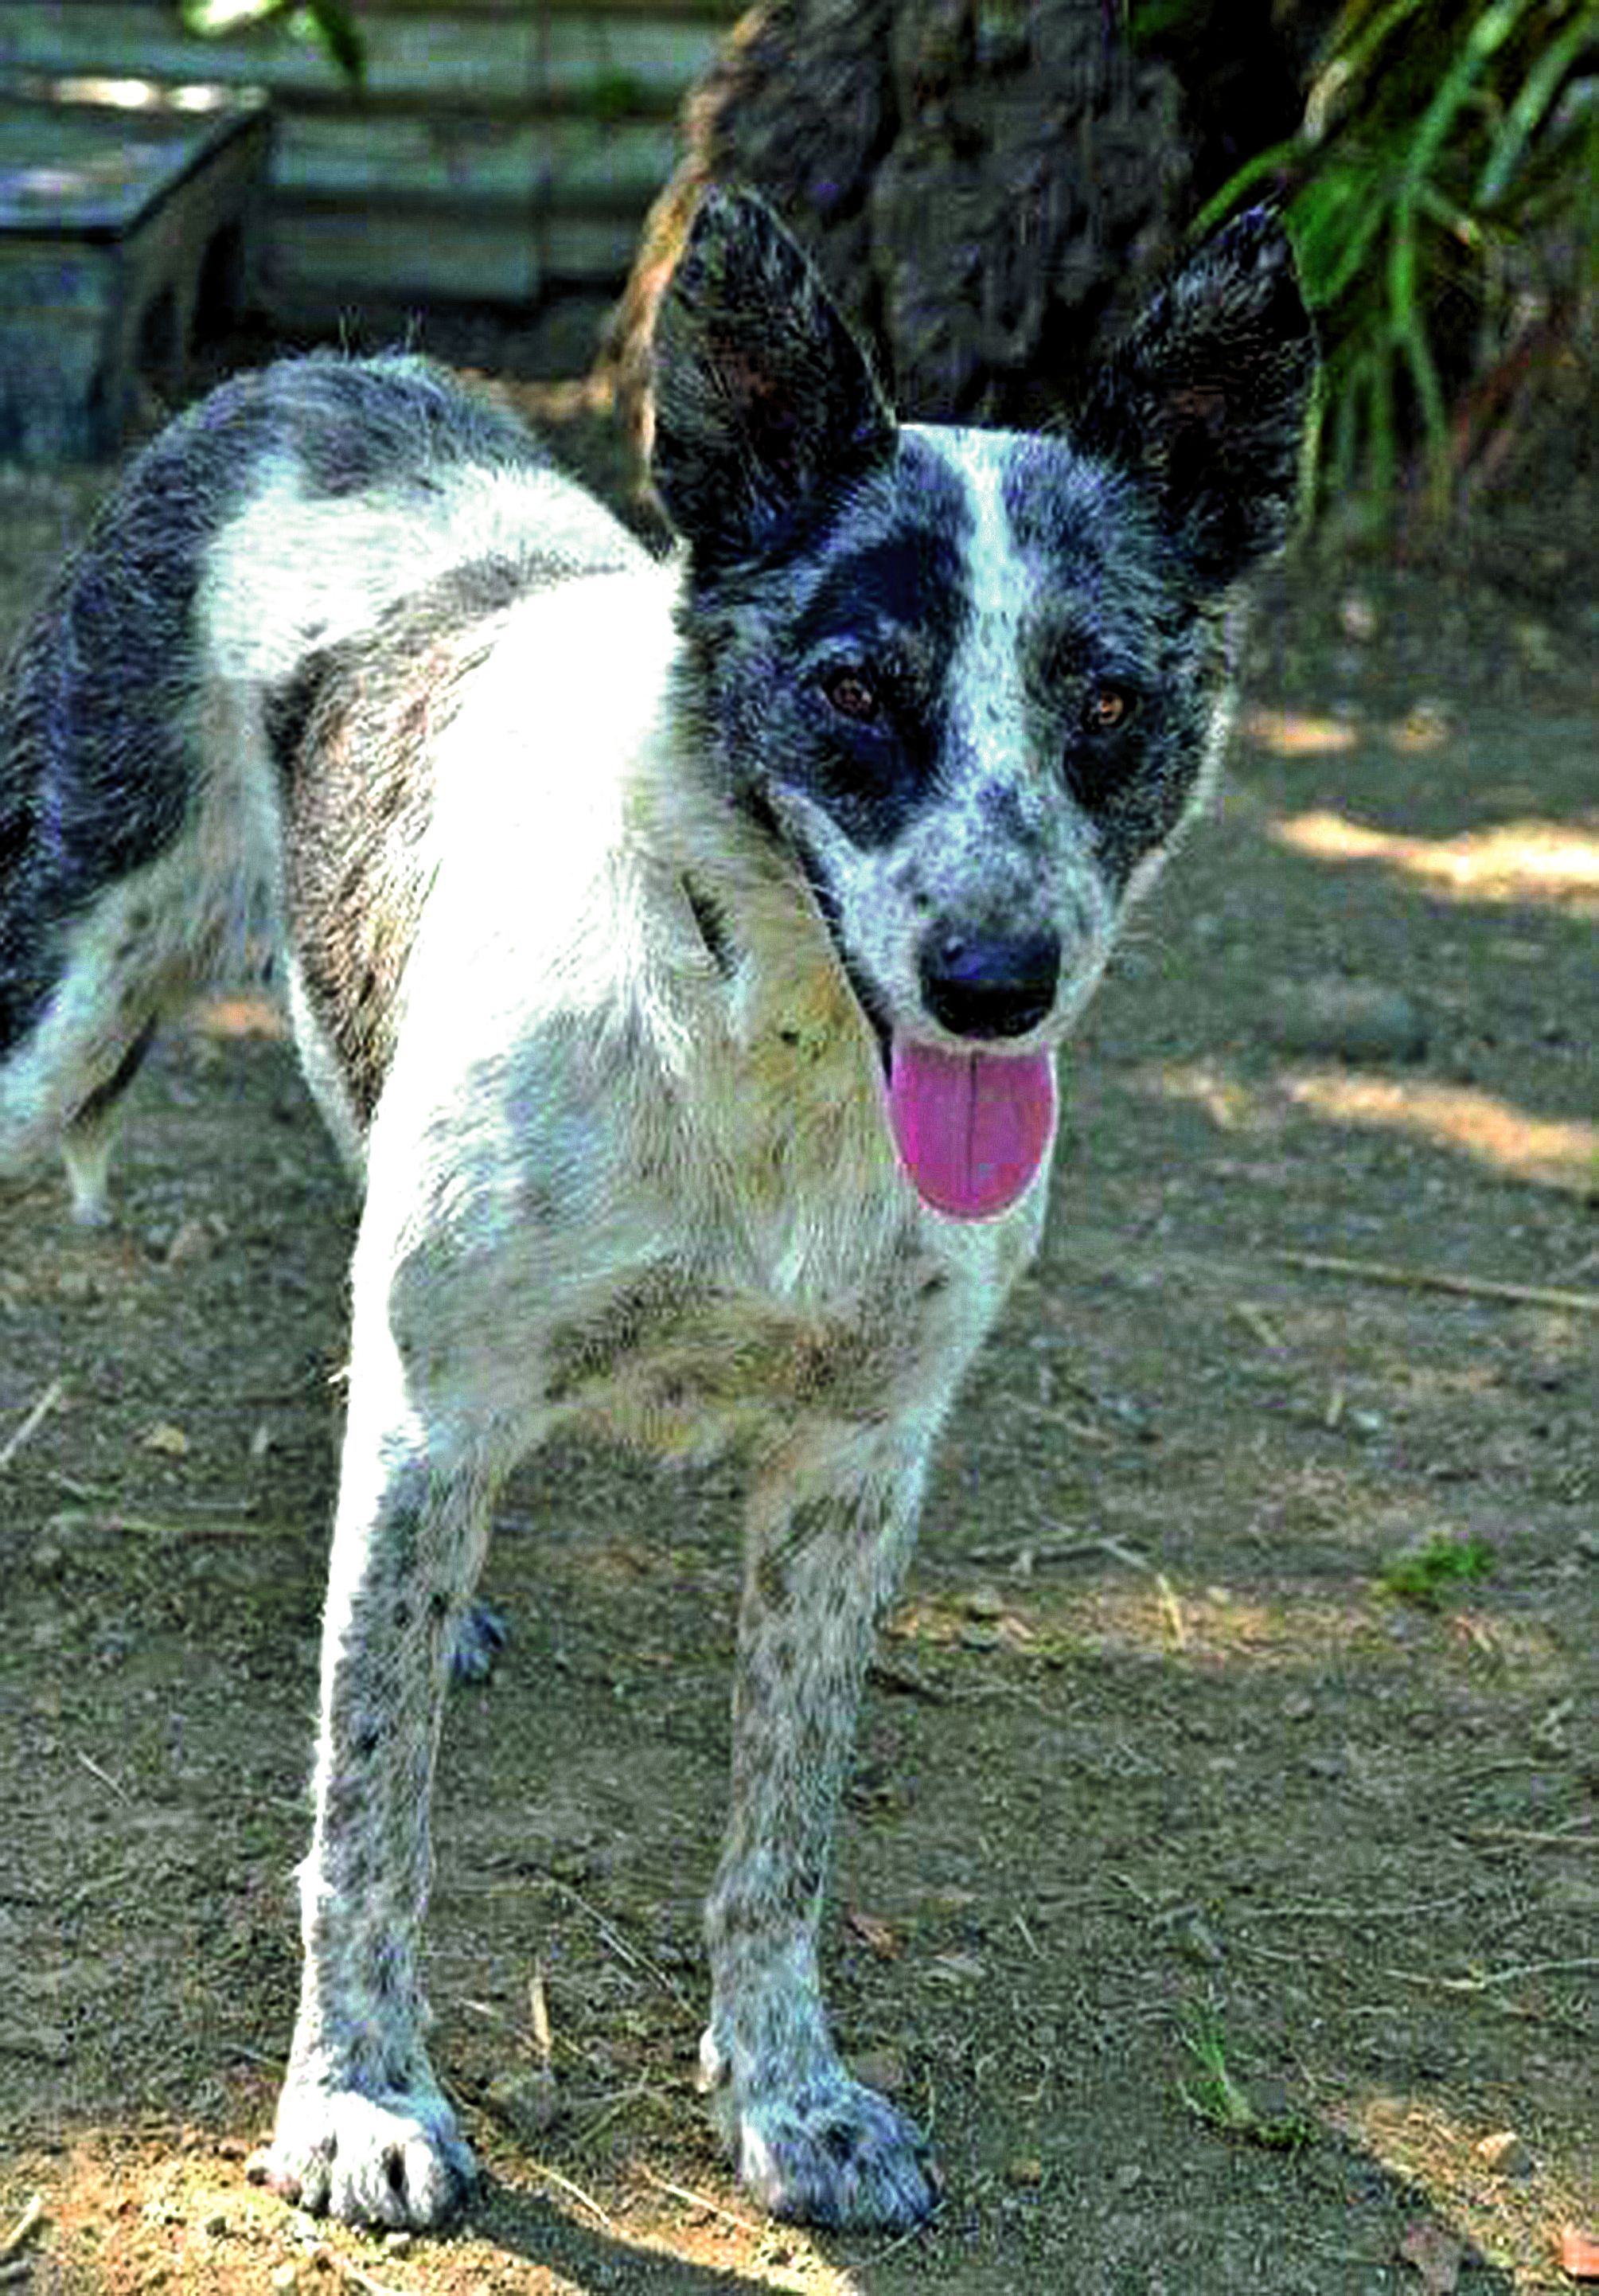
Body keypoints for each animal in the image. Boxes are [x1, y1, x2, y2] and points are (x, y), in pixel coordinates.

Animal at [0, 188, 1312, 2232]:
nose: (995, 980)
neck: (754, 1024)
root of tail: (314, 375)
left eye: (1107, 700)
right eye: (855, 688)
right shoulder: (449, 1404)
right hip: (59, 1002)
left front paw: (787, 2096)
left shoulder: (858, 1466)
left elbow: (783, 1829)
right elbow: (369, 1815)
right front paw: (354, 2095)